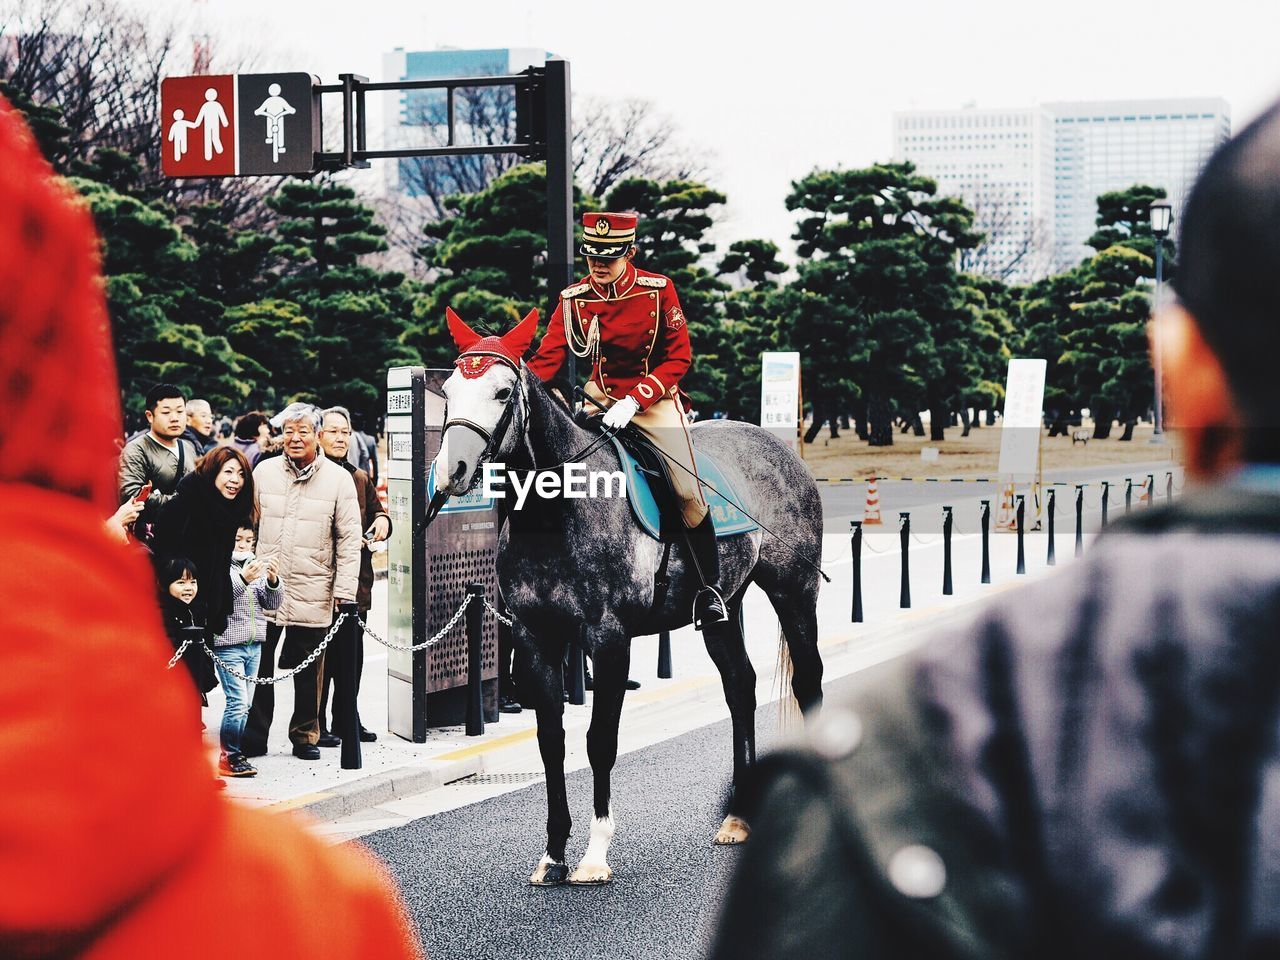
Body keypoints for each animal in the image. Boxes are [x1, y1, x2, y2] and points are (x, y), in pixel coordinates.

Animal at [435, 309, 824, 885]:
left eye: (503, 392)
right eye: (447, 390)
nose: (452, 471)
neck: (554, 513)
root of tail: (779, 446)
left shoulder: (608, 638)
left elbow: (600, 740)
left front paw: (595, 853)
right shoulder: (534, 638)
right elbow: (551, 742)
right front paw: (554, 852)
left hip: (793, 590)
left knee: (809, 681)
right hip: (721, 609)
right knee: (741, 687)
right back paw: (736, 817)